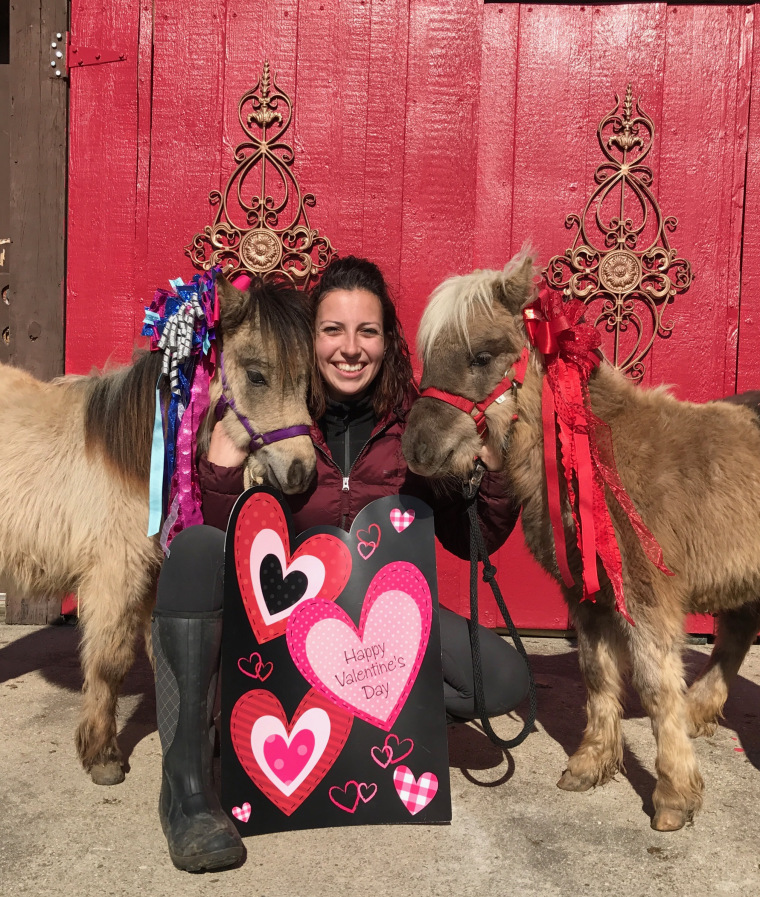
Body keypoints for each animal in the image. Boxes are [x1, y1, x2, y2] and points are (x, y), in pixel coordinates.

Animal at [0, 272, 314, 784]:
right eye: (257, 375)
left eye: (307, 379)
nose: (302, 471)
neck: (137, 455)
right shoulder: (115, 574)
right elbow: (109, 661)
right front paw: (102, 756)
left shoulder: (155, 574)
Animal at [406, 254, 760, 832]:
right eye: (426, 357)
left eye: (481, 355)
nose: (417, 450)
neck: (595, 456)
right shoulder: (585, 595)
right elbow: (596, 672)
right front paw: (592, 764)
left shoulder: (644, 597)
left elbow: (655, 685)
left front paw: (674, 796)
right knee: (736, 636)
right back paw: (701, 711)